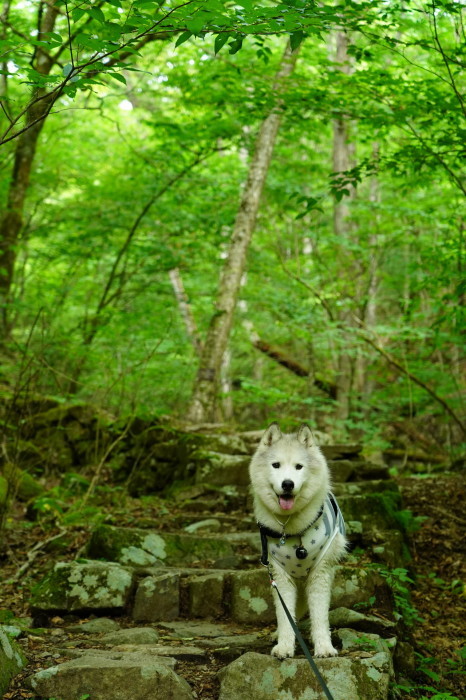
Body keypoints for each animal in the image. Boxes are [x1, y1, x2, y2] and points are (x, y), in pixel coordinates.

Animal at [251, 424, 346, 660]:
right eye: (276, 465)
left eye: (298, 467)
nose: (287, 484)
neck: (290, 529)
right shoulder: (280, 578)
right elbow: (285, 617)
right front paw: (285, 646)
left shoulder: (320, 575)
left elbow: (320, 616)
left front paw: (324, 647)